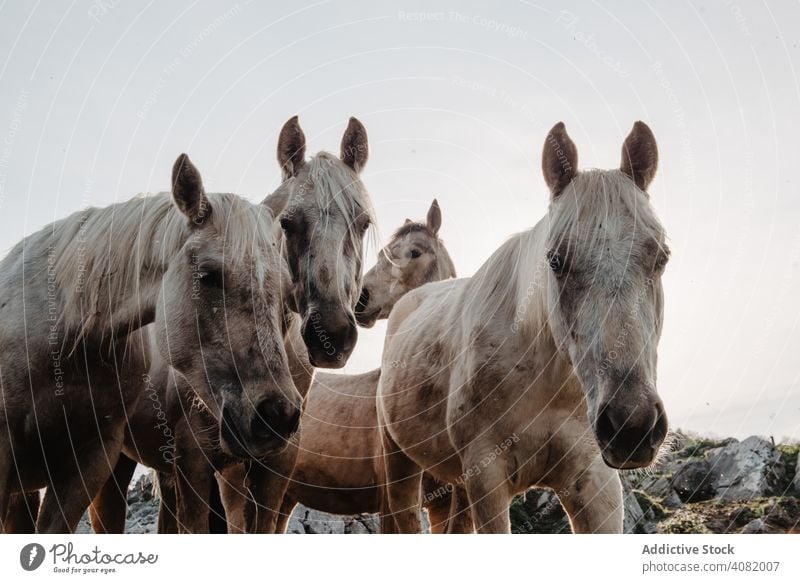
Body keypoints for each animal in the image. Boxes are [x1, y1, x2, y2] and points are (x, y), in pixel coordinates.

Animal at [376, 122, 668, 532]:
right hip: (399, 461)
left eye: (661, 257)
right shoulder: (487, 479)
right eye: (556, 260)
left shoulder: (596, 484)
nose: (632, 425)